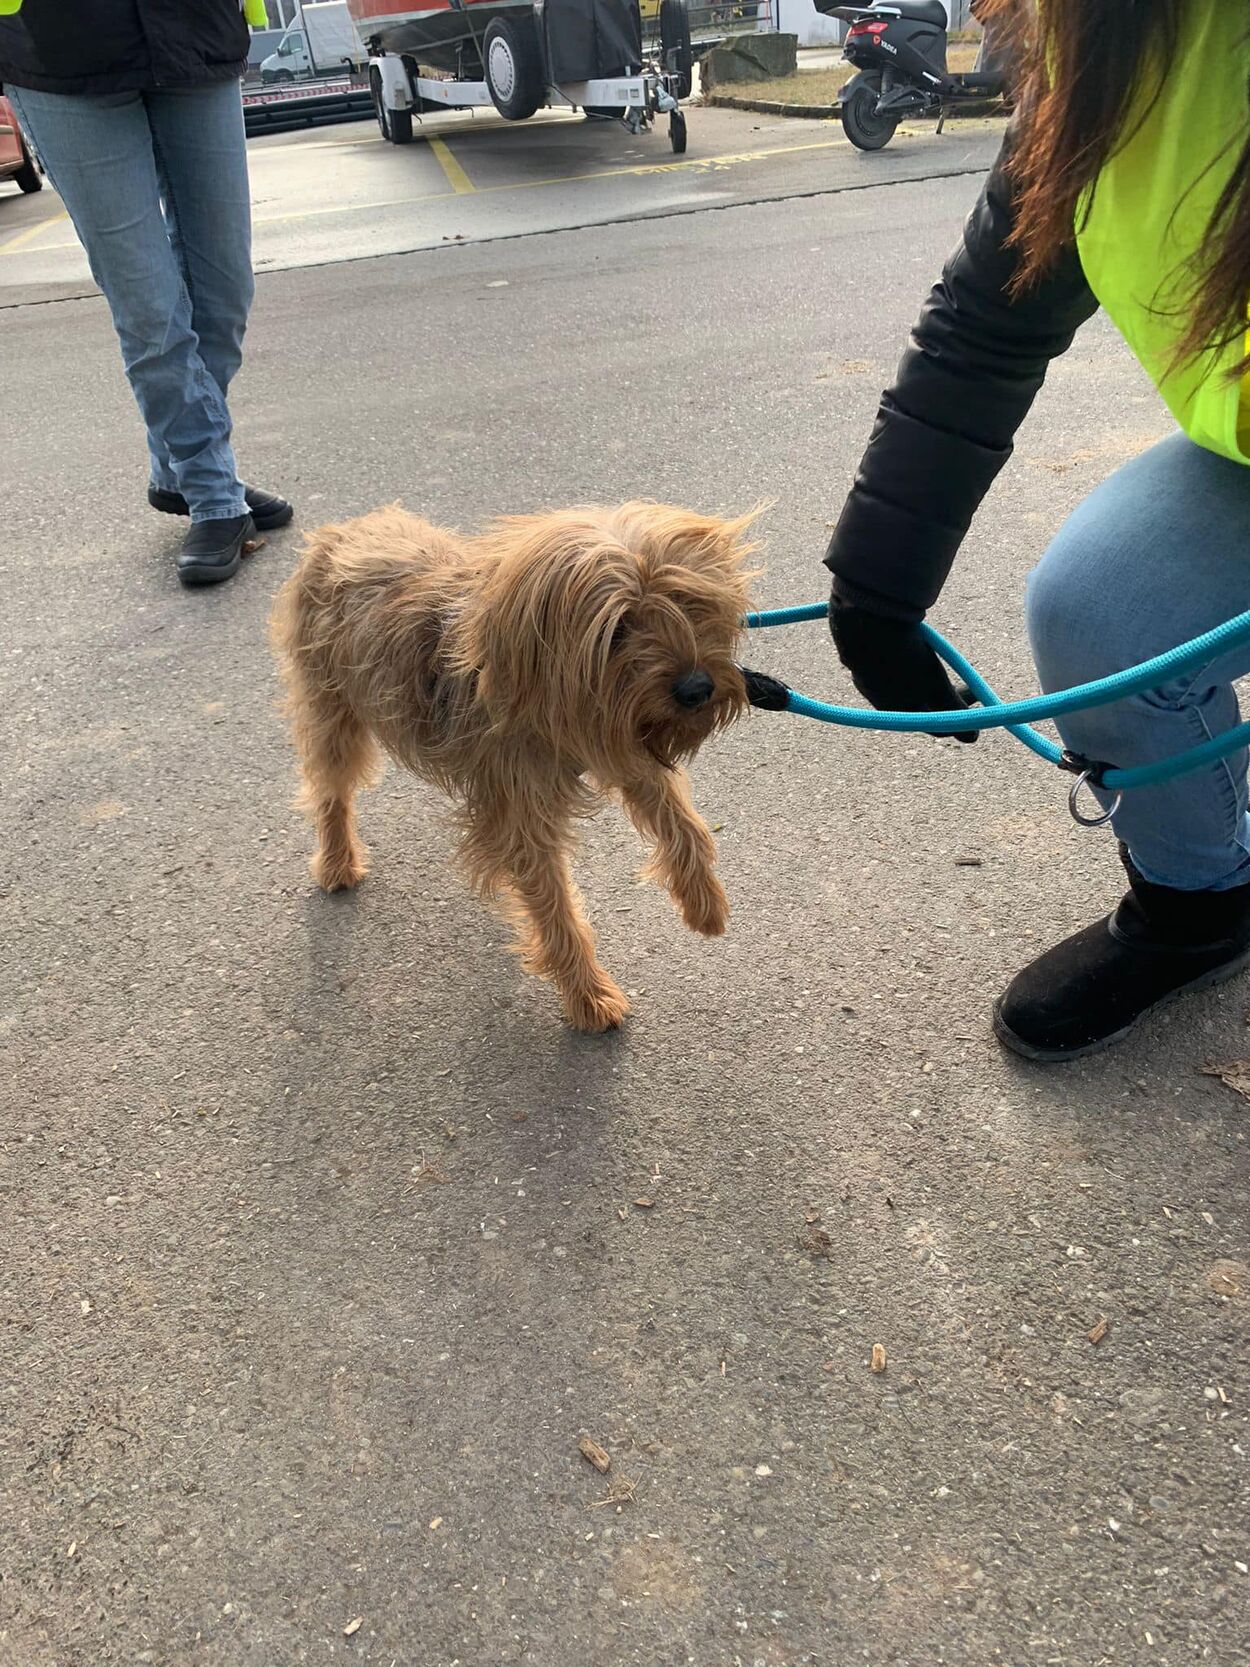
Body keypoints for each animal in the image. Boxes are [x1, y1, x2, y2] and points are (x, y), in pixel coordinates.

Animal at [269, 502, 758, 1031]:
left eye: (688, 603)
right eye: (619, 628)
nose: (696, 689)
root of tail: (341, 532)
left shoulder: (620, 738)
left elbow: (686, 825)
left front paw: (703, 902)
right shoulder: (527, 811)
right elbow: (555, 909)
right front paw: (588, 995)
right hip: (332, 707)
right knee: (330, 789)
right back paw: (337, 860)